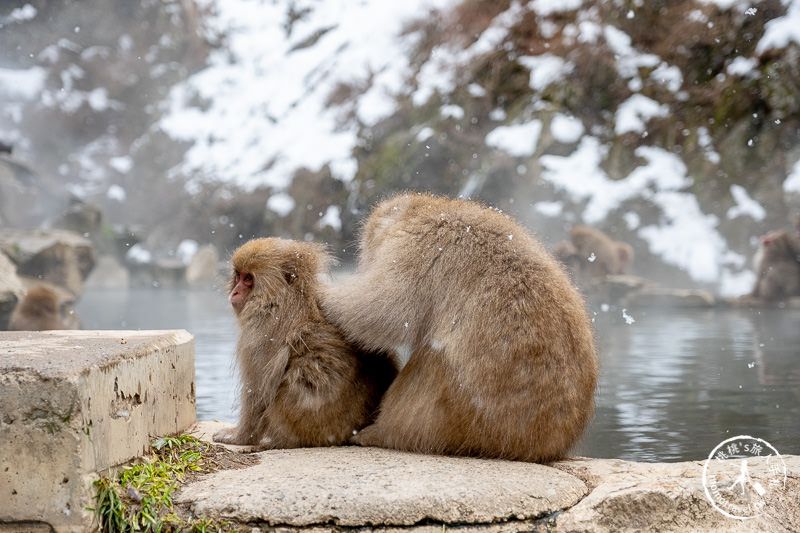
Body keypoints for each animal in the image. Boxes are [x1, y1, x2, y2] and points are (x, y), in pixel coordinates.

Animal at [212, 237, 396, 448]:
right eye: (238, 276)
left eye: (248, 279)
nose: (234, 292)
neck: (279, 297)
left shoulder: (260, 330)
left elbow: (258, 391)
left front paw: (238, 437)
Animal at [322, 192, 596, 462]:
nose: (363, 260)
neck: (426, 211)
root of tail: (543, 446)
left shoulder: (416, 246)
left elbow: (384, 310)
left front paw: (323, 294)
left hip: (465, 416)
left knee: (433, 360)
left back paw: (381, 432)